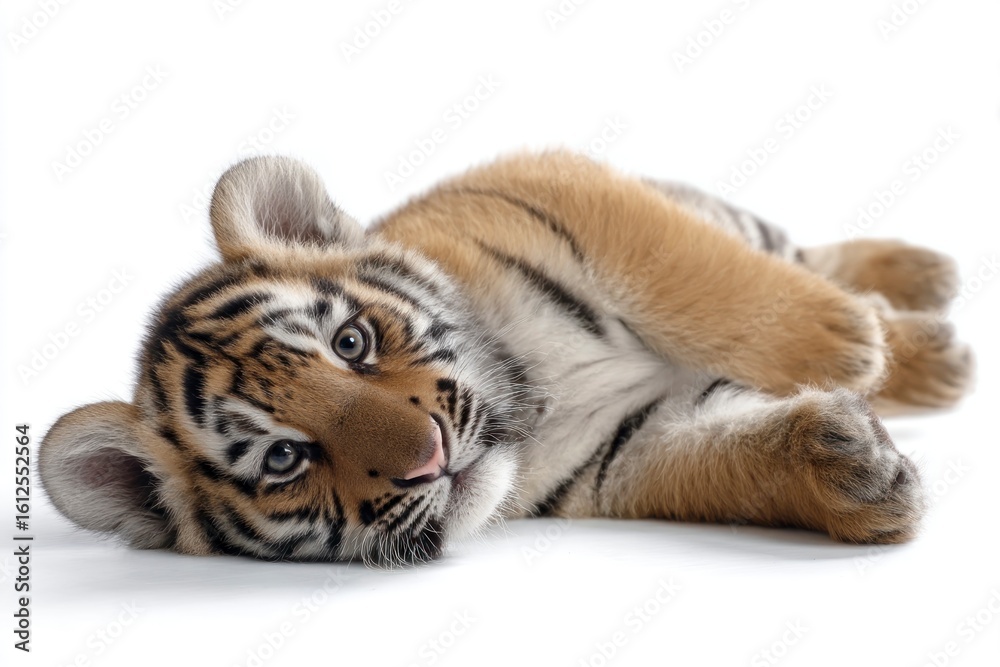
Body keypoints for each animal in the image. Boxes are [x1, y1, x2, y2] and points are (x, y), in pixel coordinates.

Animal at [39, 150, 974, 567]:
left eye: (352, 342)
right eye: (282, 459)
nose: (430, 459)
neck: (535, 398)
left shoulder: (562, 191)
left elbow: (695, 274)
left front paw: (846, 343)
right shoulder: (633, 444)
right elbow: (731, 458)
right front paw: (853, 471)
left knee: (797, 254)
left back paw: (926, 309)